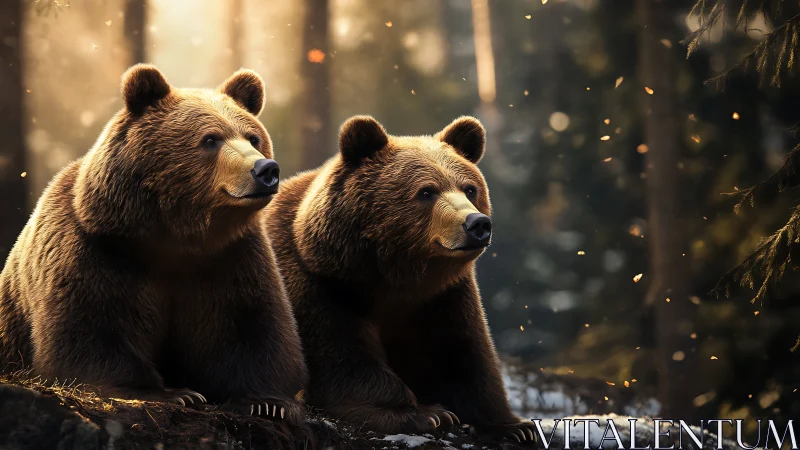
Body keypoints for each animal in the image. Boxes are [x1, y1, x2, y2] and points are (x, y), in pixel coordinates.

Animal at [0, 64, 308, 423]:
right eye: (210, 139)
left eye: (253, 138)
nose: (265, 169)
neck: (175, 238)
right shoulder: (96, 250)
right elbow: (92, 328)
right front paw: (173, 394)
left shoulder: (230, 257)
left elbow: (250, 324)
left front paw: (268, 402)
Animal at [263, 115, 537, 442]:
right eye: (426, 192)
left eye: (470, 189)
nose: (477, 224)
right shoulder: (317, 283)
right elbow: (341, 356)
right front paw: (428, 414)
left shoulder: (444, 297)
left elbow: (466, 354)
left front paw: (515, 426)